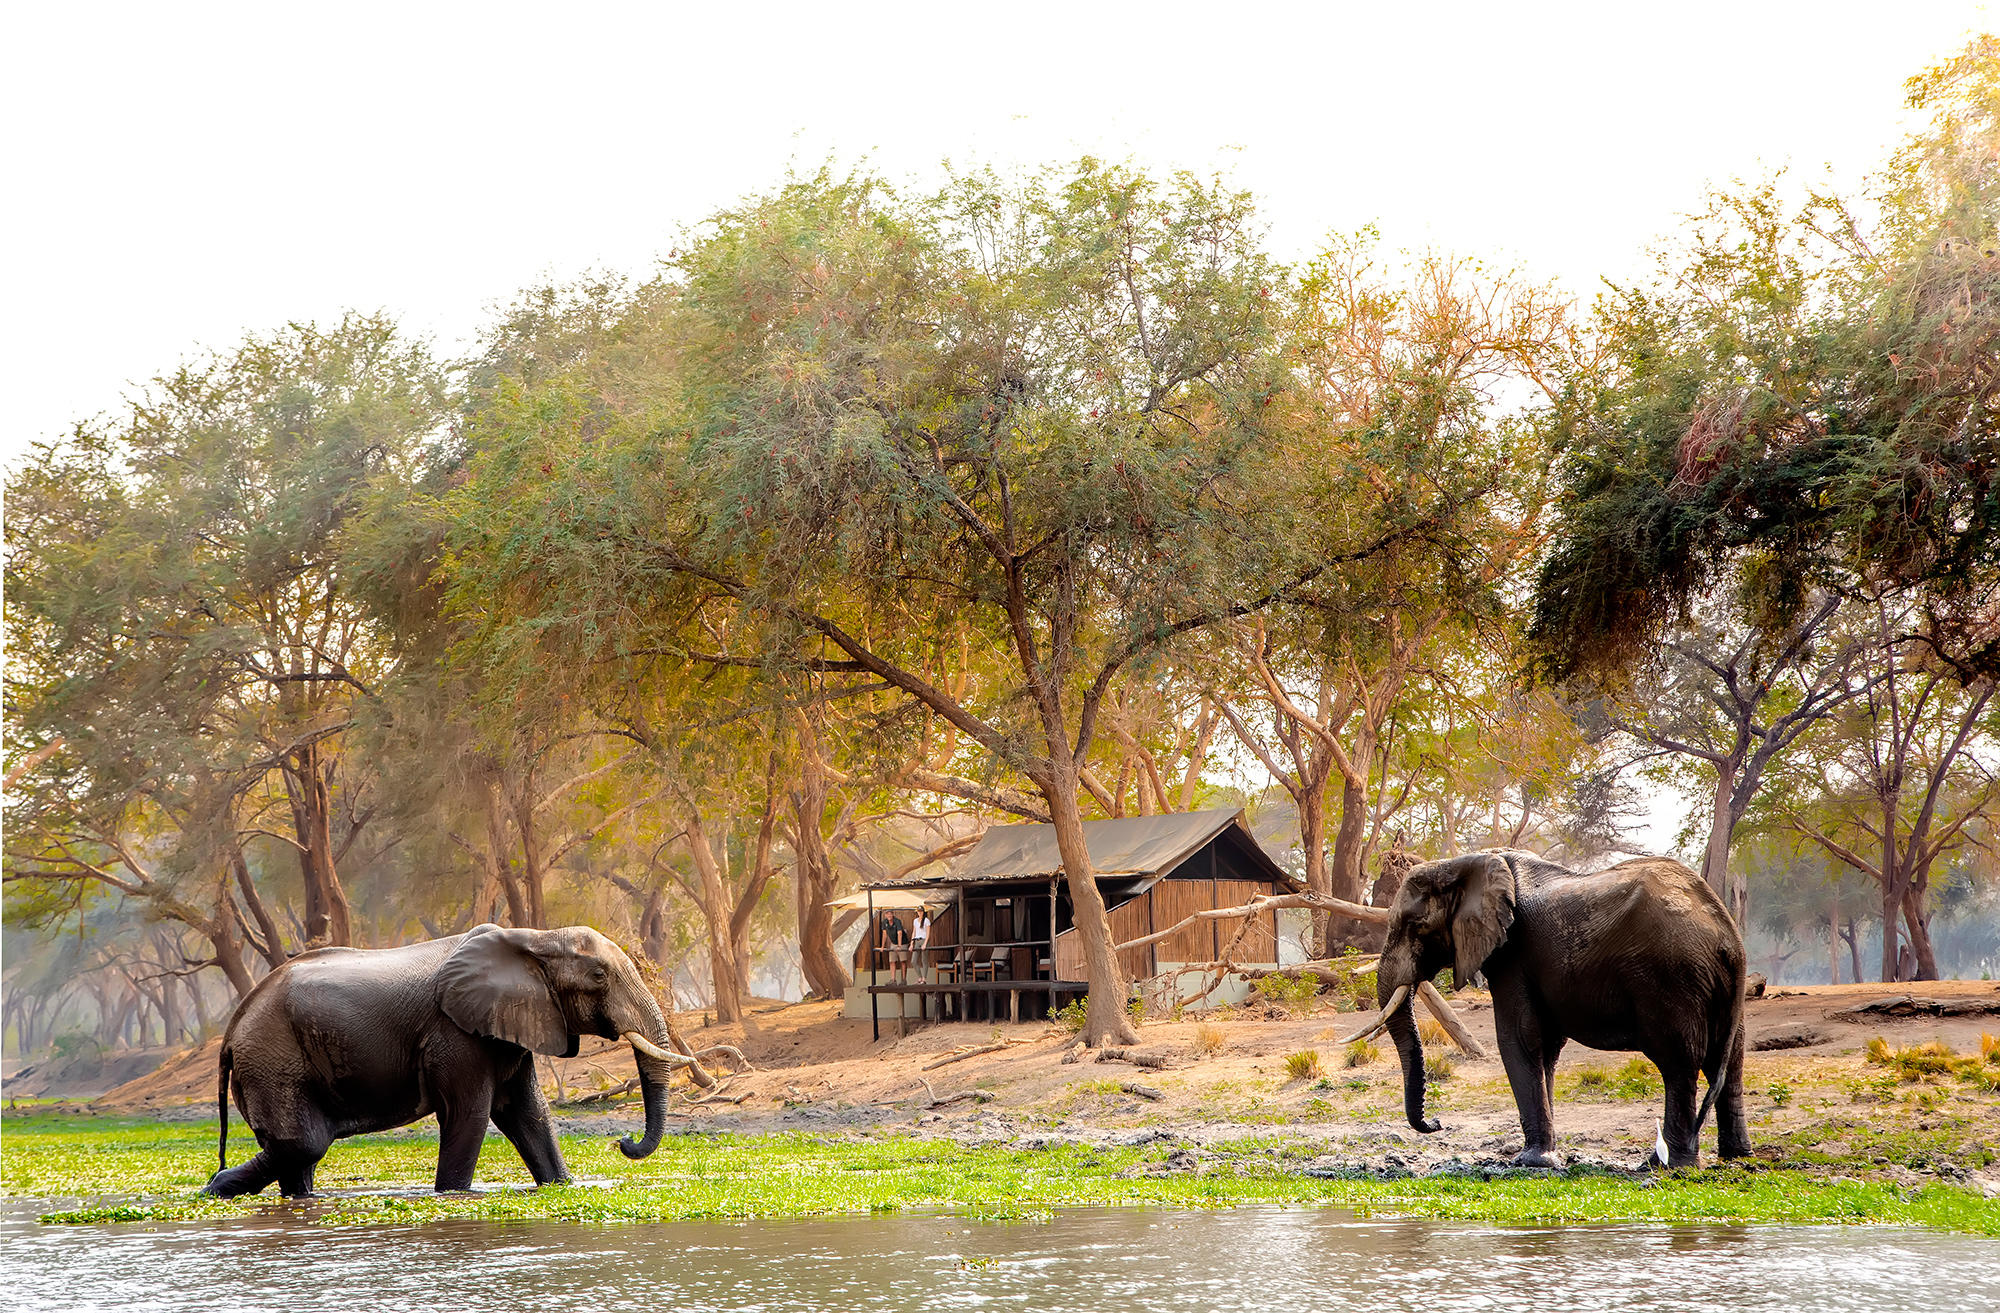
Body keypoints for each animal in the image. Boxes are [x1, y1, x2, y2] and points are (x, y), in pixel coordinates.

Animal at [199, 924, 692, 1200]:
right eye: (599, 977)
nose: (623, 1142)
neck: (534, 937)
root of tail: (231, 1031)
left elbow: (528, 1115)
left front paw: (561, 1186)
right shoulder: (455, 1033)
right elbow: (470, 1114)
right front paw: (453, 1196)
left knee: (299, 1157)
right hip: (273, 1060)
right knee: (303, 1144)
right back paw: (214, 1190)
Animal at [1360, 852, 1752, 1168]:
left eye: (1415, 926)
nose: (1437, 1123)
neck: (1464, 863)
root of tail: (1725, 933)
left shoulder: (1513, 954)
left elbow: (1518, 1039)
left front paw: (1530, 1161)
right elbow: (1545, 1048)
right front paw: (1546, 1156)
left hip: (1671, 978)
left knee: (1678, 1063)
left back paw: (1667, 1165)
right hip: (1717, 986)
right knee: (1730, 1061)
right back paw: (1736, 1158)